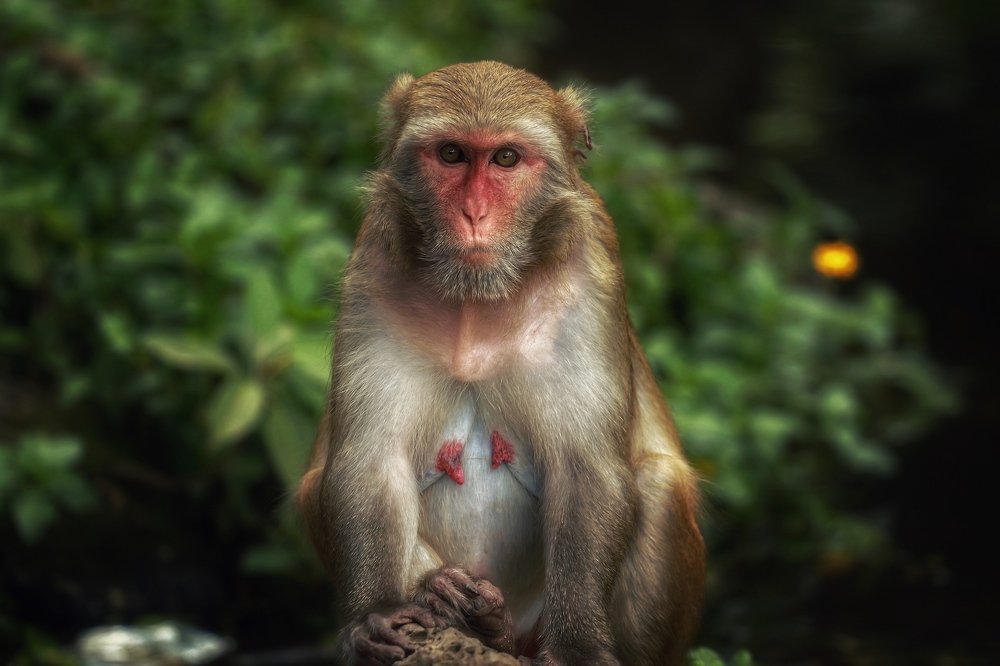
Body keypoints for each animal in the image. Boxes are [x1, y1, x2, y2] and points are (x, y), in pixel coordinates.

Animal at [297, 61, 705, 665]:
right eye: (451, 154)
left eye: (506, 158)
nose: (474, 214)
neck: (477, 298)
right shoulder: (374, 266)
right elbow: (370, 459)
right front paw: (380, 611)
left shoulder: (591, 271)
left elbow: (586, 470)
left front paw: (578, 646)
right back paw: (455, 603)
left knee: (660, 482)